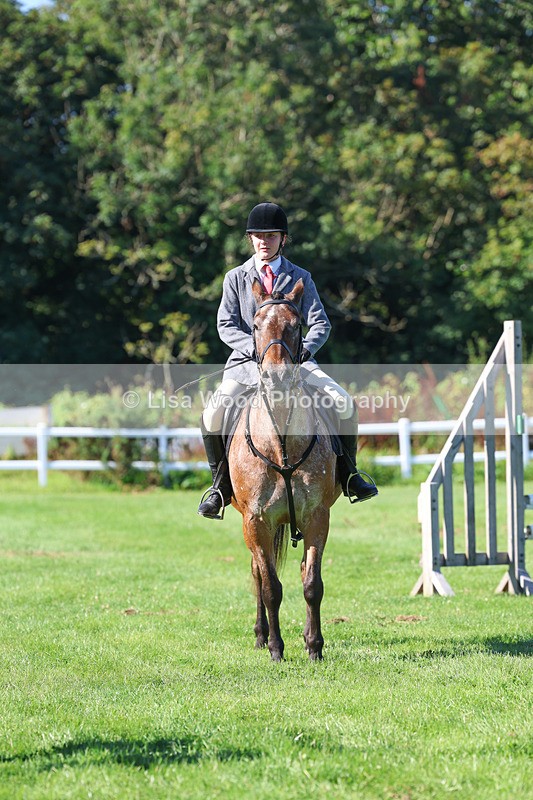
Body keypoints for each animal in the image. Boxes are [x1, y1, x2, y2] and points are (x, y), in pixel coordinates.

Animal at [228, 278, 342, 661]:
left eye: (295, 326)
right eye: (255, 325)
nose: (276, 378)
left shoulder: (317, 516)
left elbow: (312, 584)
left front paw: (315, 647)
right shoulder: (256, 520)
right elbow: (270, 588)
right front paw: (276, 649)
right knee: (259, 575)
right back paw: (262, 635)